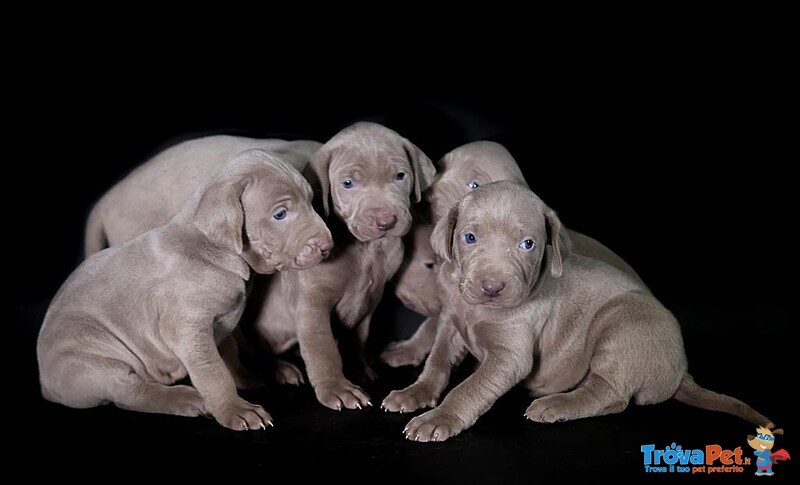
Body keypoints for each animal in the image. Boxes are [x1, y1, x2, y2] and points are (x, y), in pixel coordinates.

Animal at [36, 149, 332, 430]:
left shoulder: (222, 322)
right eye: (280, 214)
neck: (213, 249)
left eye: (311, 201)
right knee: (127, 392)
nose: (327, 247)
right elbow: (213, 371)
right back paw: (185, 398)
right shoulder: (186, 327)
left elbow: (229, 354)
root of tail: (45, 384)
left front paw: (250, 376)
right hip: (91, 359)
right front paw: (235, 409)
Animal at [253, 121, 434, 408]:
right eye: (348, 183)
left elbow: (357, 338)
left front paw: (360, 369)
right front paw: (337, 388)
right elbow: (323, 348)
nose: (386, 222)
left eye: (400, 176)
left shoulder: (370, 297)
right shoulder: (312, 302)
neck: (367, 249)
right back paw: (281, 370)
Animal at [384, 181, 772, 438]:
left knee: (611, 395)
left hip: (623, 325)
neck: (478, 311)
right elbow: (436, 363)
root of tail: (681, 370)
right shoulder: (451, 325)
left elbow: (470, 387)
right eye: (469, 238)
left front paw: (439, 418)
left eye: (528, 244)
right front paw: (414, 393)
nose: (492, 288)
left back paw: (555, 405)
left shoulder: (510, 355)